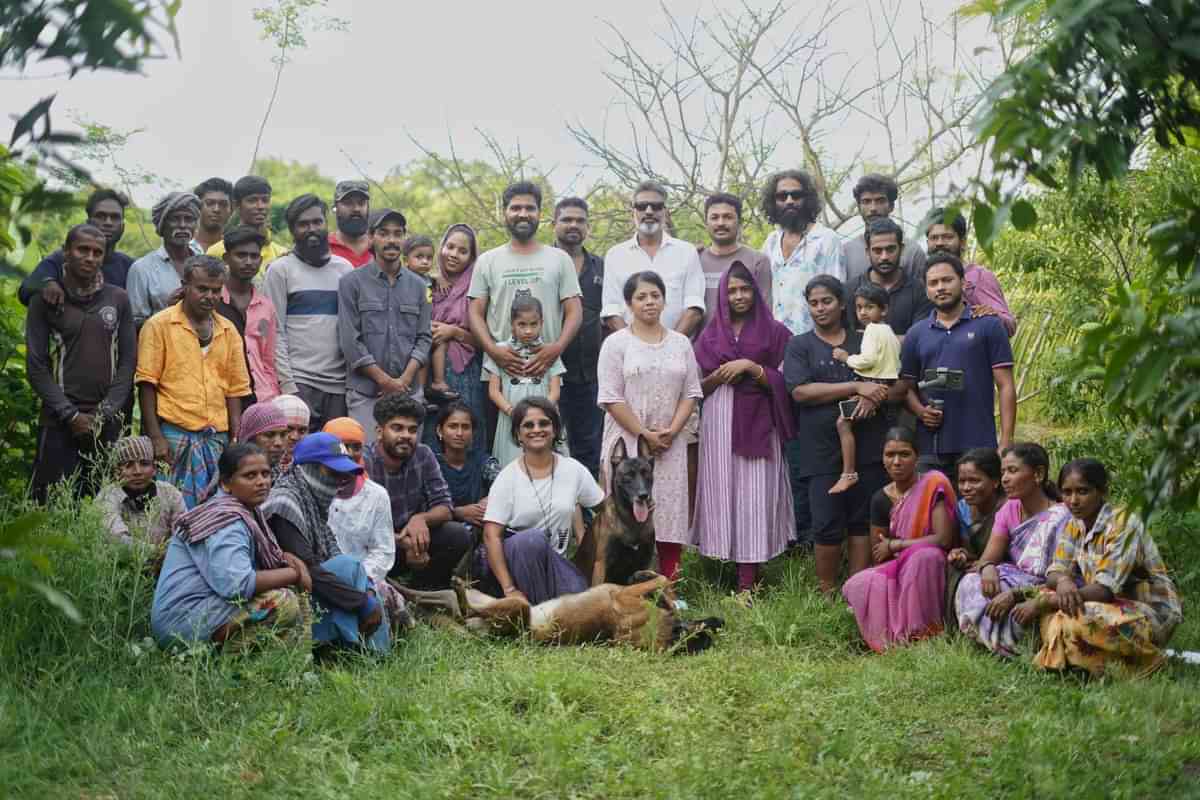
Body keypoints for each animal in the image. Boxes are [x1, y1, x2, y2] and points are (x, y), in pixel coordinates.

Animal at [573, 438, 657, 587]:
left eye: (646, 473)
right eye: (628, 475)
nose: (643, 495)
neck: (631, 520)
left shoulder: (646, 562)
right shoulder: (601, 565)